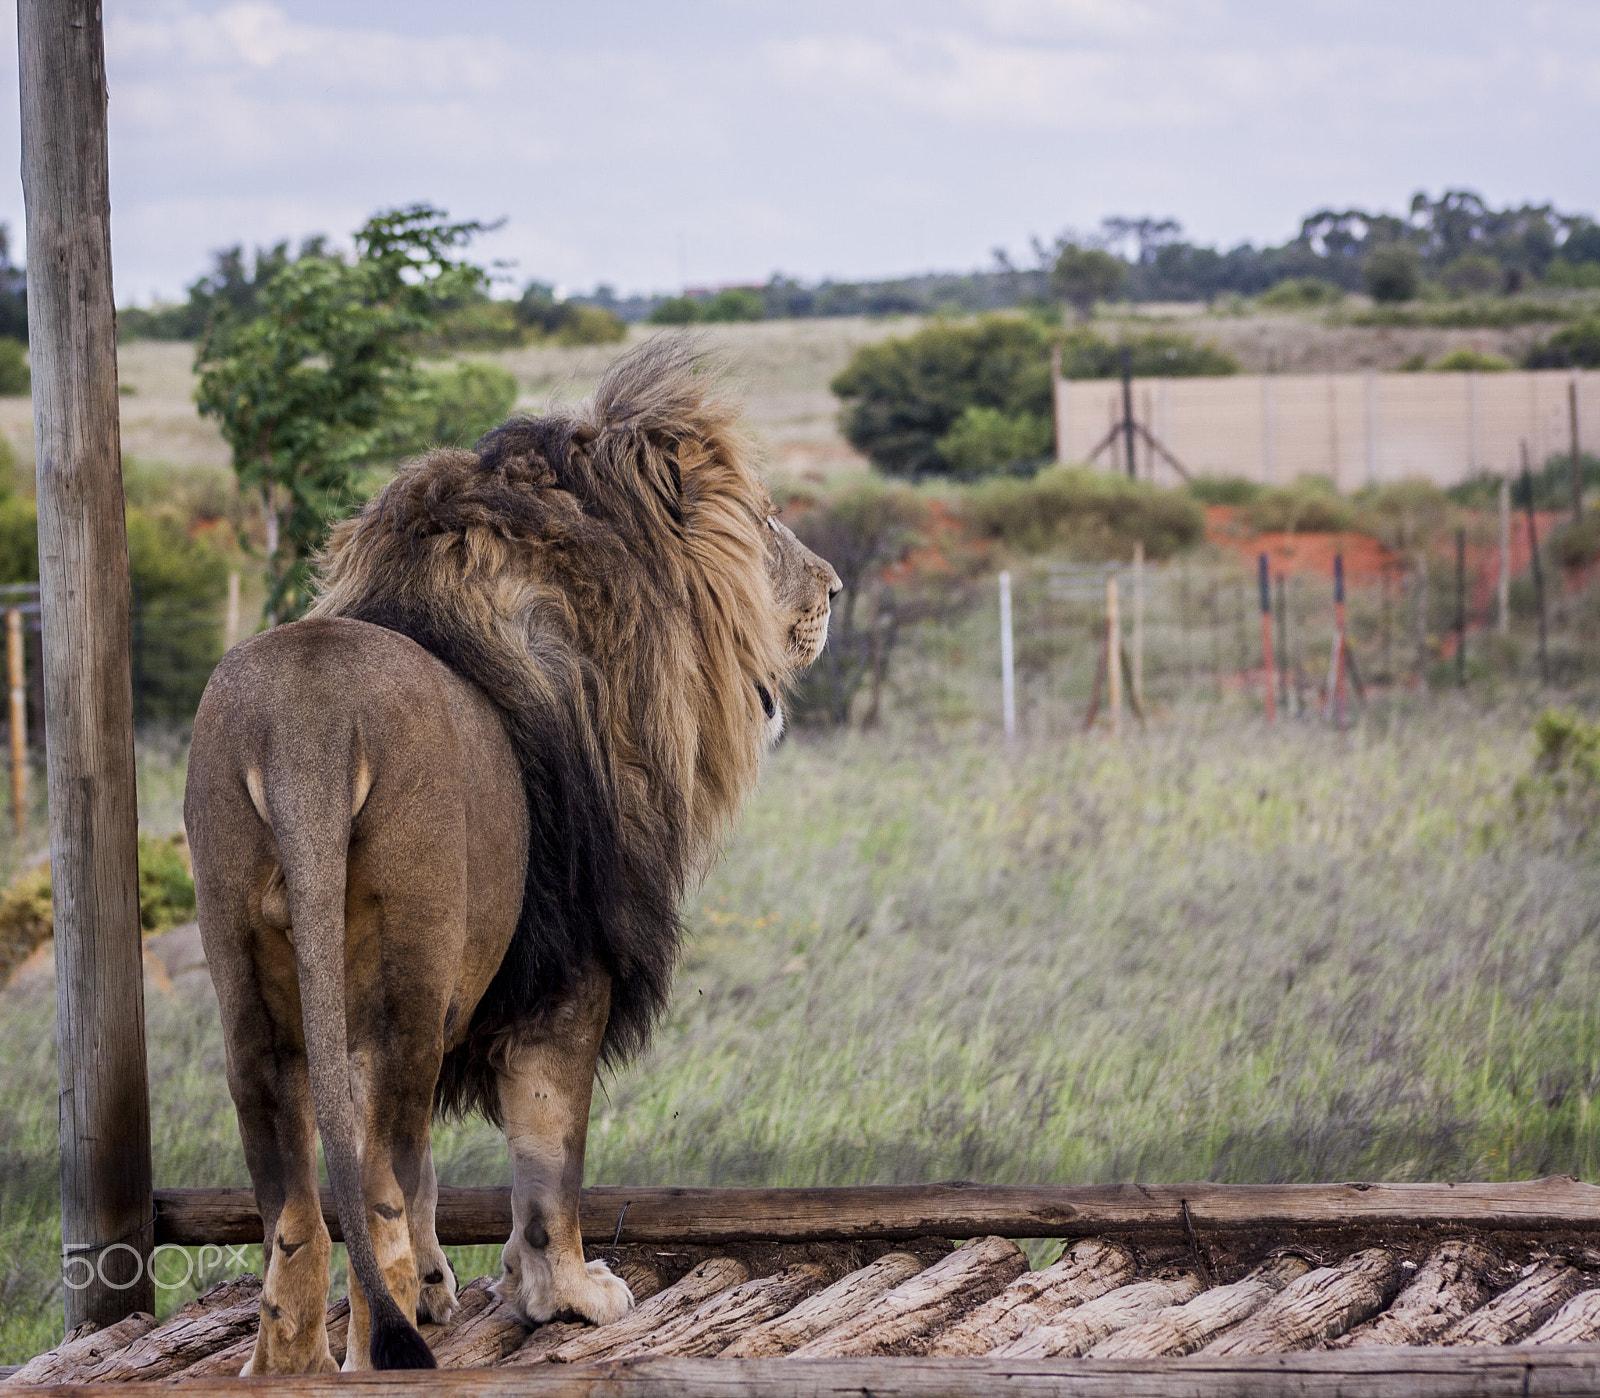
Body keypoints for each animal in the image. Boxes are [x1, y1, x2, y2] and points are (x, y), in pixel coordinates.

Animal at [184, 340, 838, 1375]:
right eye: (765, 518)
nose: (835, 589)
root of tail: (304, 727)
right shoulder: (568, 976)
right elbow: (547, 1161)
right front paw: (565, 1293)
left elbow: (425, 1170)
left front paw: (446, 1288)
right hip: (410, 981)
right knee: (376, 1194)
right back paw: (386, 1346)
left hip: (253, 987)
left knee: (302, 1204)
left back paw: (290, 1361)